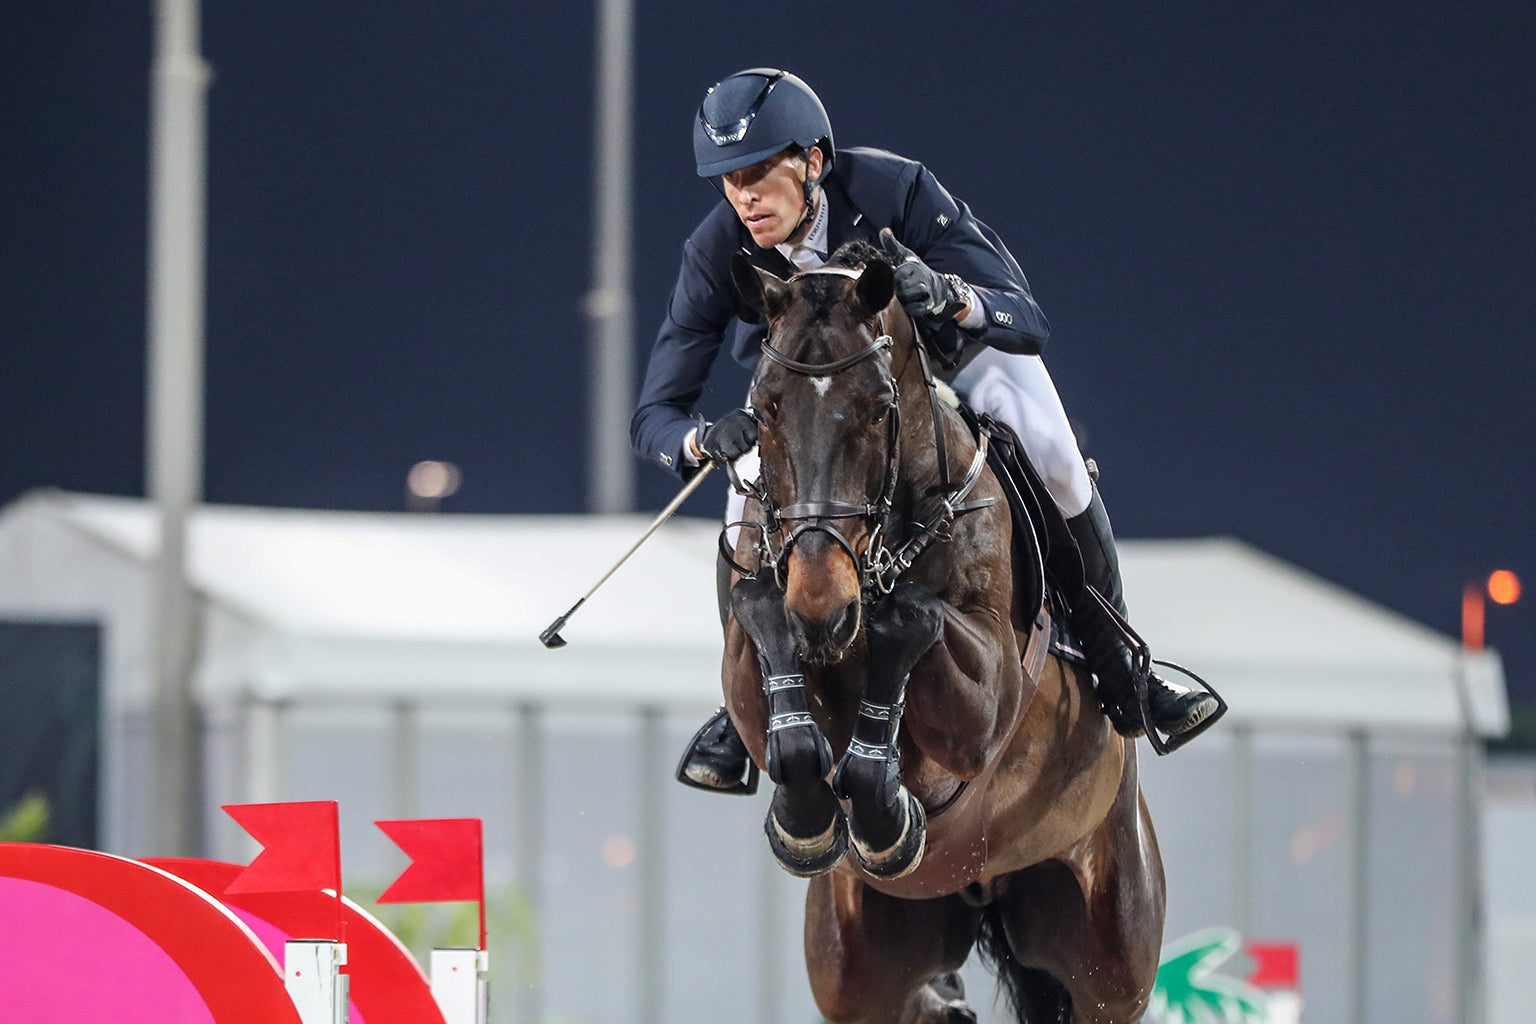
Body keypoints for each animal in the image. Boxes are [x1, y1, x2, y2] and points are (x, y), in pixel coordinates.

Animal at [717, 242, 1166, 1024]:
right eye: (766, 406)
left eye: (877, 409)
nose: (822, 607)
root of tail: (984, 887)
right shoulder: (753, 667)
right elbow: (760, 619)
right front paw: (809, 819)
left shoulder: (985, 704)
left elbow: (914, 621)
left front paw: (883, 810)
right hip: (861, 967)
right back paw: (941, 999)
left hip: (1112, 960)